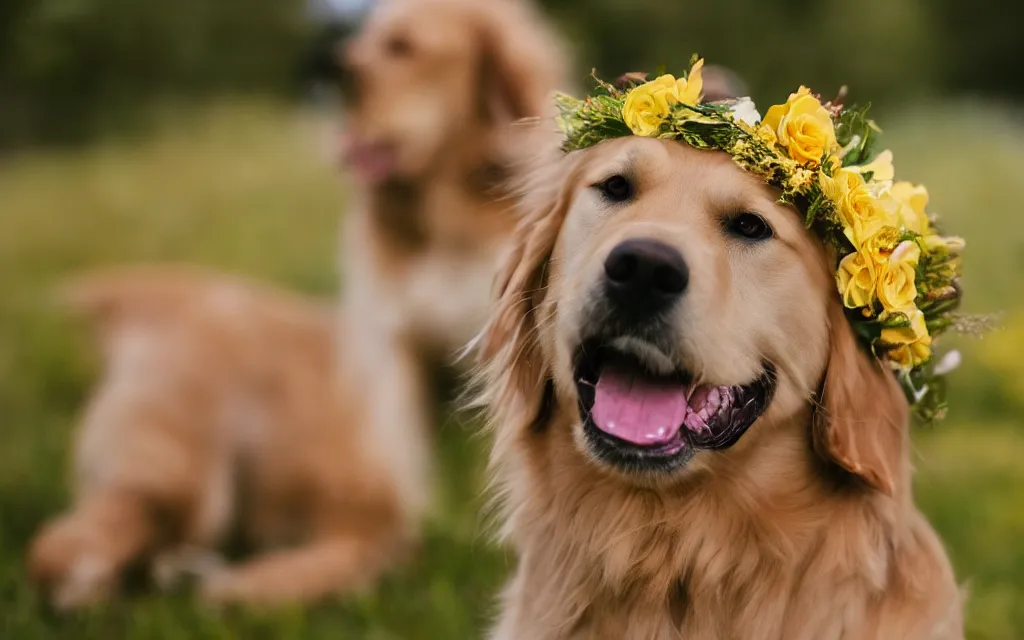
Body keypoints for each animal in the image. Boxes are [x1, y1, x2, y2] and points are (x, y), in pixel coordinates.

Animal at [25, 0, 569, 606]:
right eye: (361, 40)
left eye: (403, 46)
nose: (331, 68)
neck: (449, 228)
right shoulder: (392, 354)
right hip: (183, 474)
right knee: (63, 546)